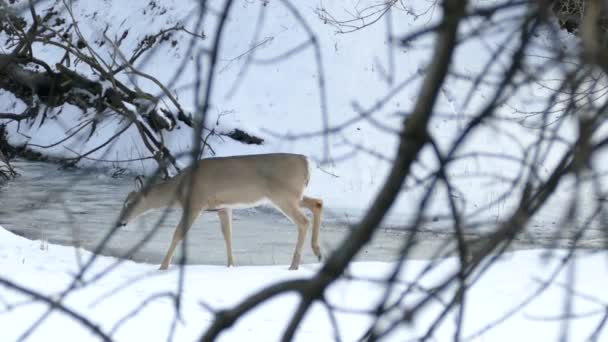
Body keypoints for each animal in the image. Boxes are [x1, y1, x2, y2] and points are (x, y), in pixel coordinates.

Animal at [115, 154, 324, 270]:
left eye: (129, 203)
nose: (120, 222)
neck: (180, 188)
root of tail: (306, 163)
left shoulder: (196, 203)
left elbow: (178, 233)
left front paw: (163, 266)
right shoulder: (223, 207)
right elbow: (227, 235)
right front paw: (231, 265)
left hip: (283, 195)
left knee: (303, 221)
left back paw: (294, 265)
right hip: (293, 195)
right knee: (318, 203)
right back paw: (318, 252)